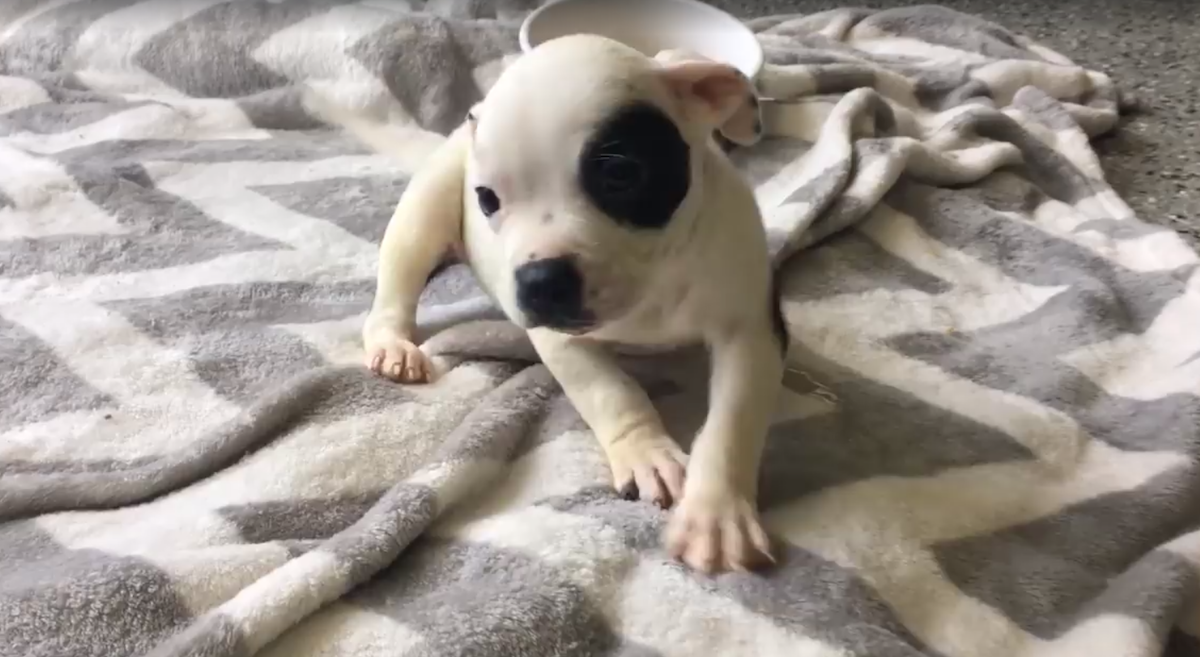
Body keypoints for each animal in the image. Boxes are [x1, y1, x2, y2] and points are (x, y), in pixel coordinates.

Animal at [331, 35, 785, 574]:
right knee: (396, 286)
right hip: (422, 215)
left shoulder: (749, 328)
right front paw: (646, 452)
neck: (653, 283)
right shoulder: (561, 341)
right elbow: (609, 389)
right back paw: (394, 345)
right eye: (487, 199)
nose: (541, 282)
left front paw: (715, 513)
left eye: (621, 173)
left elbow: (732, 419)